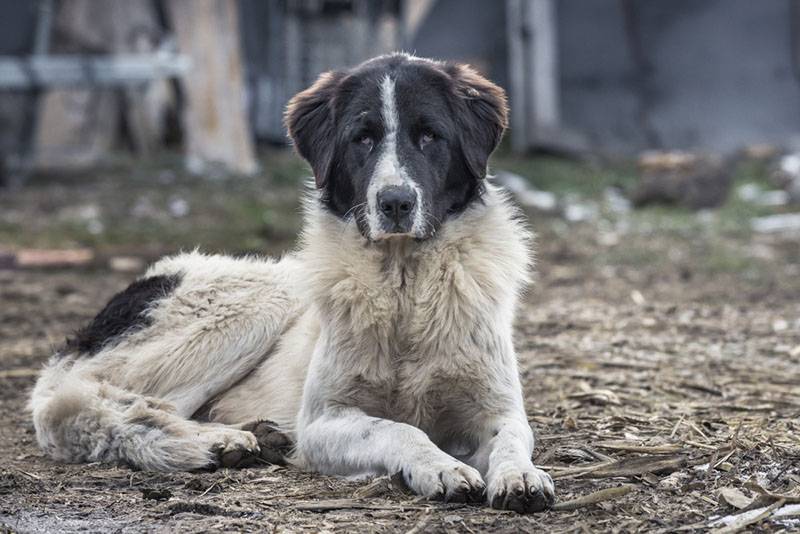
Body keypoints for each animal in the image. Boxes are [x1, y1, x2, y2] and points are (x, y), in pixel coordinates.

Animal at [29, 53, 556, 516]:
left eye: (430, 136)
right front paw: (441, 468)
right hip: (259, 302)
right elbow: (400, 430)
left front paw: (520, 476)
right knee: (90, 405)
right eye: (362, 139)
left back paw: (255, 436)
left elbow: (511, 438)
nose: (395, 202)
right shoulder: (324, 422)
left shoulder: (498, 408)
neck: (404, 283)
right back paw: (216, 442)